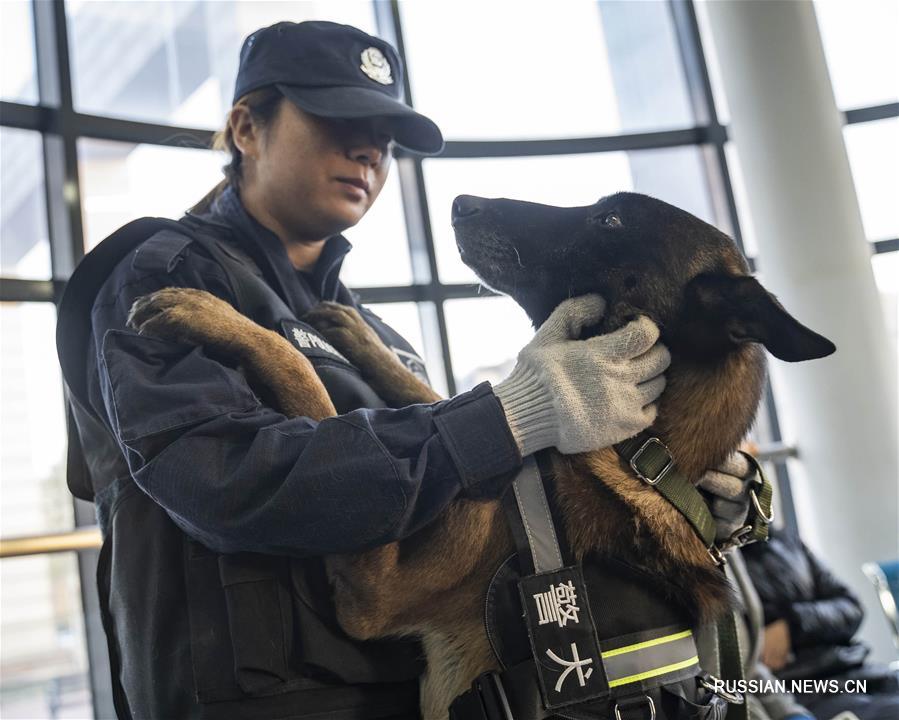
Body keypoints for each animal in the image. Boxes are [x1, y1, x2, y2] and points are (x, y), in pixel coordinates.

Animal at [128, 190, 836, 716]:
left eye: (609, 219)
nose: (461, 202)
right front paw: (359, 335)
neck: (637, 455)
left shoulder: (374, 588)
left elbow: (310, 383)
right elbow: (445, 400)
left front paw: (205, 311)